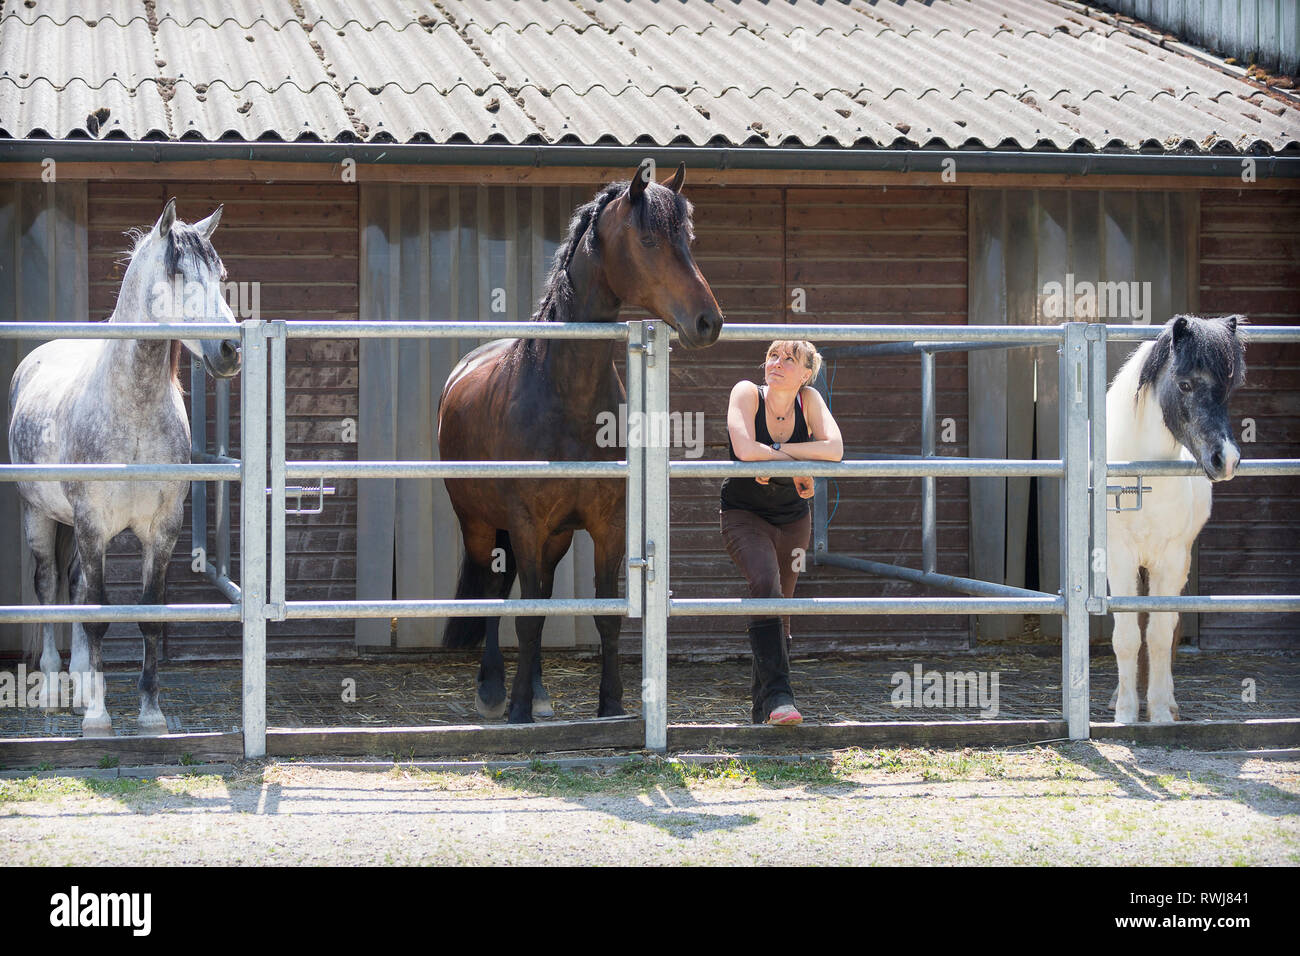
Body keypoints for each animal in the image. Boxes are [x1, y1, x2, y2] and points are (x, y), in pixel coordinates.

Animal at [436, 164, 722, 723]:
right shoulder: (525, 523)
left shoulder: (605, 526)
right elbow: (525, 617)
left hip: (555, 537)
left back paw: (539, 690)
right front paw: (518, 710)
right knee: (493, 592)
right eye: (649, 238)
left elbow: (602, 614)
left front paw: (609, 706)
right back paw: (493, 689)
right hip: (480, 524)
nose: (708, 321)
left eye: (689, 238)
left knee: (540, 593)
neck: (564, 393)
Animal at [1107, 316, 1248, 723]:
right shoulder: (1118, 558)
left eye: (1229, 388)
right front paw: (1125, 713)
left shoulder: (1170, 561)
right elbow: (1127, 636)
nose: (1226, 459)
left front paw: (1158, 713)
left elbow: (1158, 635)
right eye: (1185, 384)